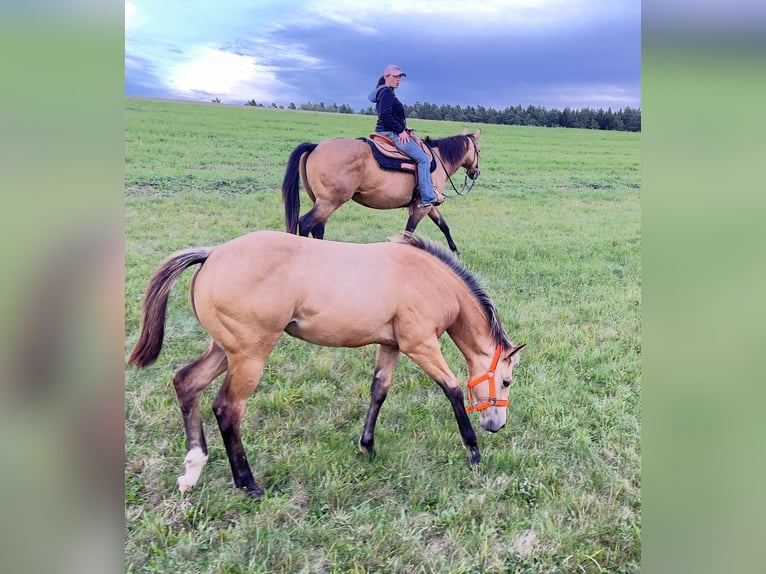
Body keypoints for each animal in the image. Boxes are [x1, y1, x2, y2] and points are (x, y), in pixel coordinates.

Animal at [127, 230, 520, 500]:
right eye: (506, 382)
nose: (496, 424)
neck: (432, 279)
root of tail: (212, 255)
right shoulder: (420, 345)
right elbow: (452, 389)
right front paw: (473, 451)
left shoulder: (391, 345)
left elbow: (379, 391)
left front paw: (367, 447)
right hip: (249, 355)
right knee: (227, 409)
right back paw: (248, 484)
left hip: (225, 350)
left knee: (186, 382)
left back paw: (192, 471)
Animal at [284, 132, 484, 258]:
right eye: (479, 151)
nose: (475, 173)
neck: (438, 159)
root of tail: (316, 146)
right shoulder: (422, 206)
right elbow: (408, 232)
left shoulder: (428, 205)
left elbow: (444, 226)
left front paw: (456, 252)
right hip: (330, 201)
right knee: (306, 223)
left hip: (322, 202)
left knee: (318, 227)